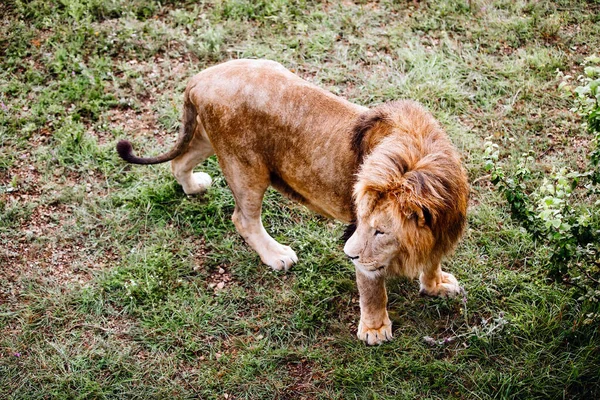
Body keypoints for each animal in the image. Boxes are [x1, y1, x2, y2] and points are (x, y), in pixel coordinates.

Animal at [116, 58, 468, 344]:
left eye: (381, 231)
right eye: (362, 223)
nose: (347, 254)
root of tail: (200, 78)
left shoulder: (439, 232)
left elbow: (432, 261)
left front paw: (436, 285)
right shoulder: (367, 257)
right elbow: (373, 291)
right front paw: (375, 329)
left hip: (208, 135)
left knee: (179, 162)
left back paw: (194, 186)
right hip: (246, 168)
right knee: (243, 218)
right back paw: (277, 255)